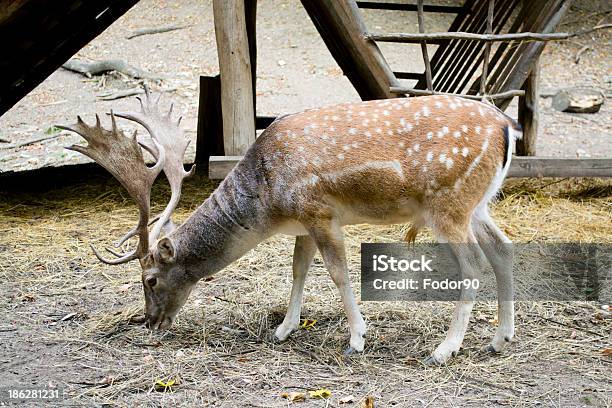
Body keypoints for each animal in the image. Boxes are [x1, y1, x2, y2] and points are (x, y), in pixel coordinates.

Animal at [61, 90, 520, 364]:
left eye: (151, 279)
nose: (149, 322)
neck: (268, 204)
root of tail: (506, 127)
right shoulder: (301, 225)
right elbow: (298, 269)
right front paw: (283, 329)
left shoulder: (319, 212)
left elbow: (338, 273)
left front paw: (356, 339)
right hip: (478, 205)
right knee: (505, 250)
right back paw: (501, 339)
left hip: (448, 204)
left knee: (474, 264)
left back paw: (444, 349)